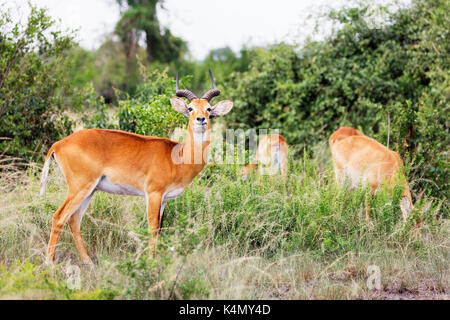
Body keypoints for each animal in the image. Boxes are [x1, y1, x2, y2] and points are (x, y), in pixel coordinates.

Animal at [40, 71, 234, 264]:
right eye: (191, 108)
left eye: (209, 108)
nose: (201, 119)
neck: (178, 157)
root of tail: (58, 144)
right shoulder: (153, 194)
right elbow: (152, 227)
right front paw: (150, 262)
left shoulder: (164, 199)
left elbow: (159, 228)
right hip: (80, 187)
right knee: (59, 217)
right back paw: (50, 263)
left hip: (90, 190)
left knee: (73, 220)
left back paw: (88, 261)